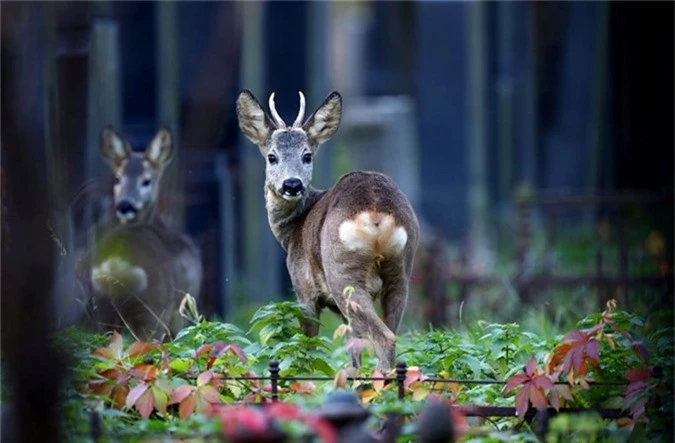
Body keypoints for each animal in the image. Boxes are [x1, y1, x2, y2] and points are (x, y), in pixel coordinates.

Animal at [76, 126, 203, 342]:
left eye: (146, 181)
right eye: (117, 178)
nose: (125, 205)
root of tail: (116, 264)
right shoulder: (180, 313)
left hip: (103, 311)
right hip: (154, 309)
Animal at [236, 89, 418, 372]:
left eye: (307, 155)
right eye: (272, 156)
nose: (292, 184)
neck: (291, 230)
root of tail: (376, 213)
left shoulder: (303, 289)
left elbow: (307, 348)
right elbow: (353, 356)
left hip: (343, 273)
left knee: (384, 337)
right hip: (401, 271)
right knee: (389, 332)